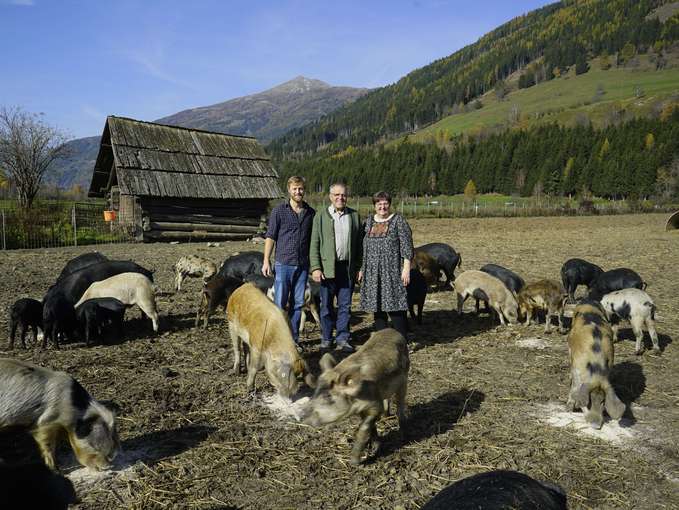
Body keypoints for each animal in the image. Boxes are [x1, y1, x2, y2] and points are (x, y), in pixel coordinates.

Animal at [304, 328, 410, 464]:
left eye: (328, 396)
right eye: (315, 393)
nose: (305, 419)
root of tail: (392, 330)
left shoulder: (375, 405)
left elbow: (364, 429)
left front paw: (354, 462)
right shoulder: (362, 409)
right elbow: (372, 428)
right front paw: (375, 447)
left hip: (404, 378)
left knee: (400, 404)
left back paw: (403, 431)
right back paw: (386, 416)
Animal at [568, 300, 628, 428]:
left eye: (602, 401)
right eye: (589, 401)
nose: (596, 426)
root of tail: (588, 300)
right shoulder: (576, 367)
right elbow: (574, 386)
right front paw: (569, 408)